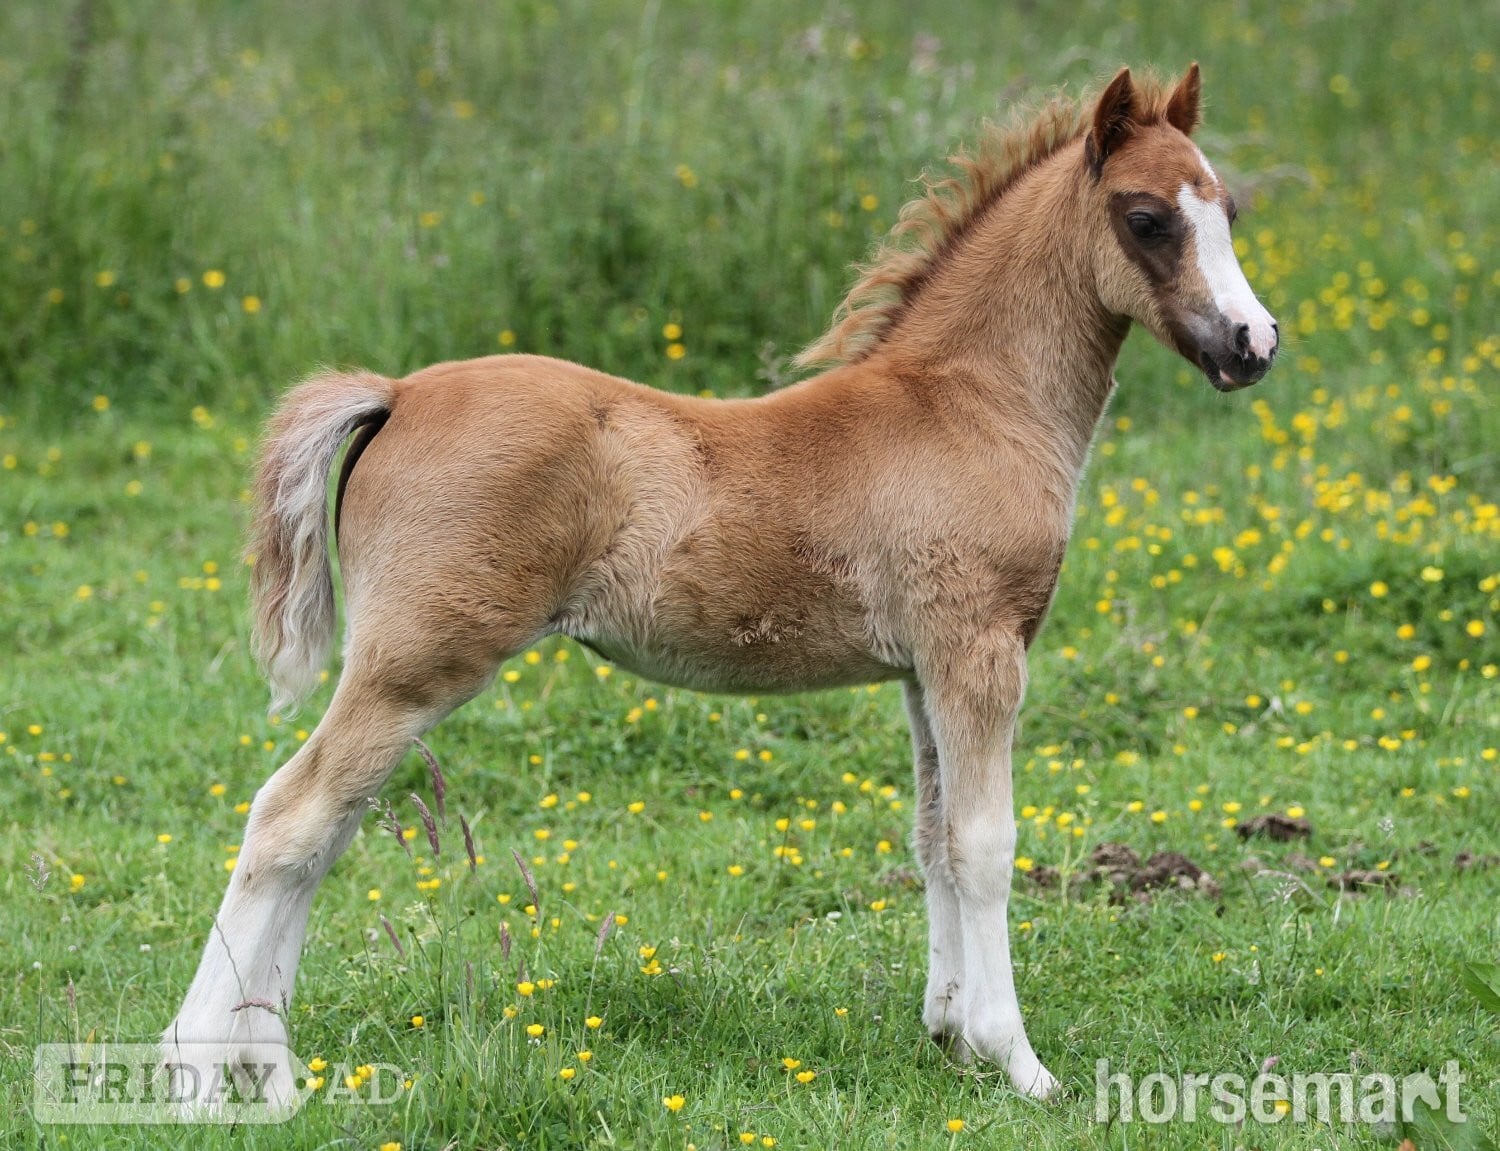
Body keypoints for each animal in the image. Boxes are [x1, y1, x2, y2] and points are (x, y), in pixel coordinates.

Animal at [165, 63, 1277, 1103]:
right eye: (1145, 218)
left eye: (1227, 209)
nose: (1253, 344)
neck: (968, 404)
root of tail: (394, 392)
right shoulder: (980, 651)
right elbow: (985, 844)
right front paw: (1020, 1061)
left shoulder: (925, 670)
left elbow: (931, 840)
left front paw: (950, 1033)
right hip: (418, 661)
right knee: (291, 817)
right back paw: (198, 1067)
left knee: (327, 829)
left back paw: (269, 1068)